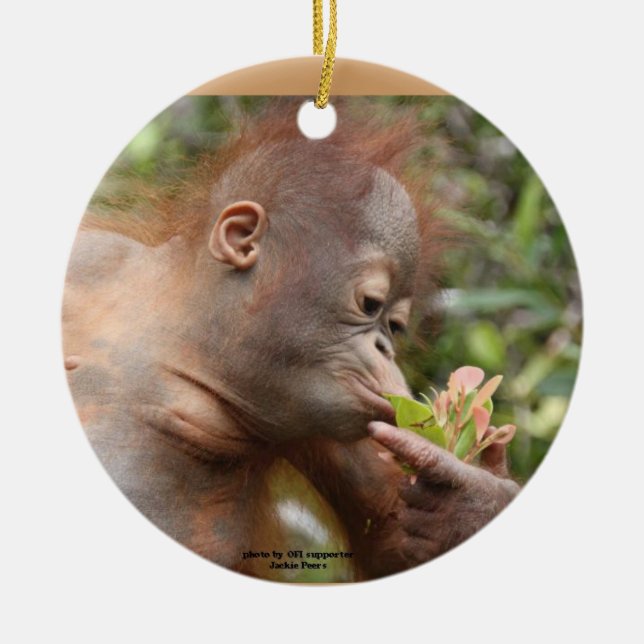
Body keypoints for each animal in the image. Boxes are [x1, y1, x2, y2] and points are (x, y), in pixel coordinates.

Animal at [62, 99, 519, 581]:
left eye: (395, 326)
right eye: (370, 305)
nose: (386, 350)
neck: (185, 346)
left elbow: (397, 540)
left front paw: (465, 499)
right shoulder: (91, 259)